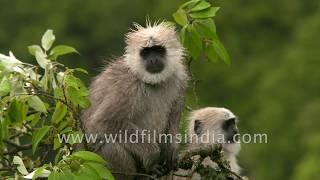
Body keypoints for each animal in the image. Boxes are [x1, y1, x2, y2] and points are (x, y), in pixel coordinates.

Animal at [81, 21, 189, 179]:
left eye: (158, 50)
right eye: (146, 52)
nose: (153, 59)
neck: (152, 83)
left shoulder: (179, 78)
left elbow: (173, 117)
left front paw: (171, 150)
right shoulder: (128, 85)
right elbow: (103, 122)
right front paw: (152, 156)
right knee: (110, 146)